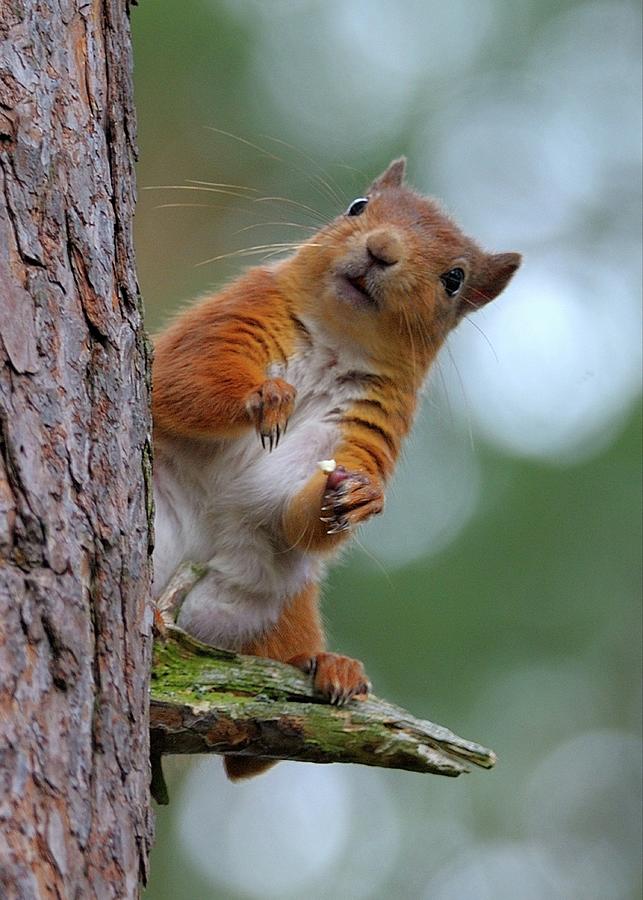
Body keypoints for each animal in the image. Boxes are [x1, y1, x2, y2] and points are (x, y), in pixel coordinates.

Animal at [152, 162, 524, 780]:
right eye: (357, 206)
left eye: (454, 278)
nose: (381, 248)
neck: (338, 341)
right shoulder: (232, 316)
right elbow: (183, 381)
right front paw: (265, 395)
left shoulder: (366, 426)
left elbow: (294, 510)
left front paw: (359, 498)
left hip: (276, 612)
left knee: (251, 754)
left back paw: (328, 664)